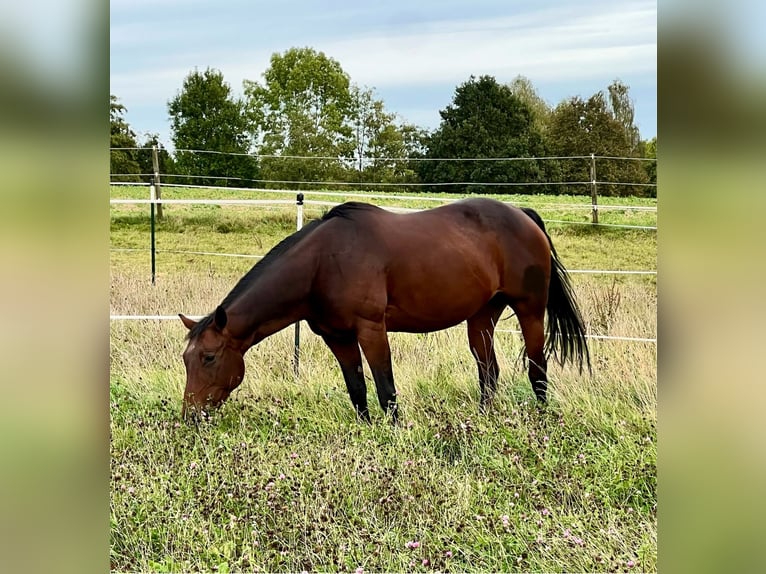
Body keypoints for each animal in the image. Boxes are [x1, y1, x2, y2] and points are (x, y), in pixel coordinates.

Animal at [180, 200, 592, 426]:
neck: (322, 264)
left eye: (209, 356)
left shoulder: (371, 330)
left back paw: (540, 422)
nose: (191, 415)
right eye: (186, 359)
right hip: (481, 316)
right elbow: (357, 388)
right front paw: (367, 430)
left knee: (537, 369)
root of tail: (523, 215)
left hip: (529, 310)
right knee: (488, 372)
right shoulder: (336, 336)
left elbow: (385, 388)